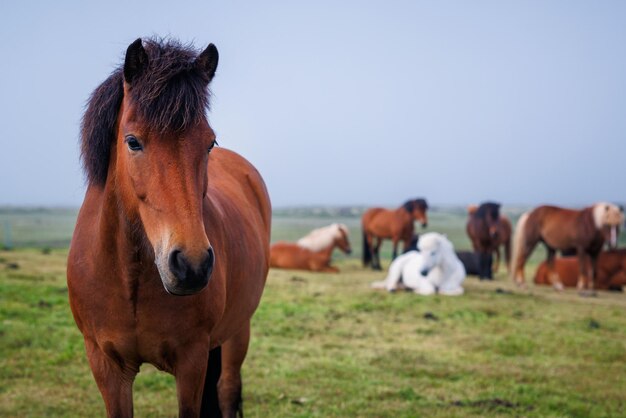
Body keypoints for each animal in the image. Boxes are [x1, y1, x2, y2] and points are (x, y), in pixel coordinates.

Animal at [66, 37, 270, 416]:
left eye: (210, 142)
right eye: (132, 141)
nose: (192, 265)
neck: (129, 276)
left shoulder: (191, 362)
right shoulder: (106, 366)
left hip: (238, 331)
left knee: (228, 389)